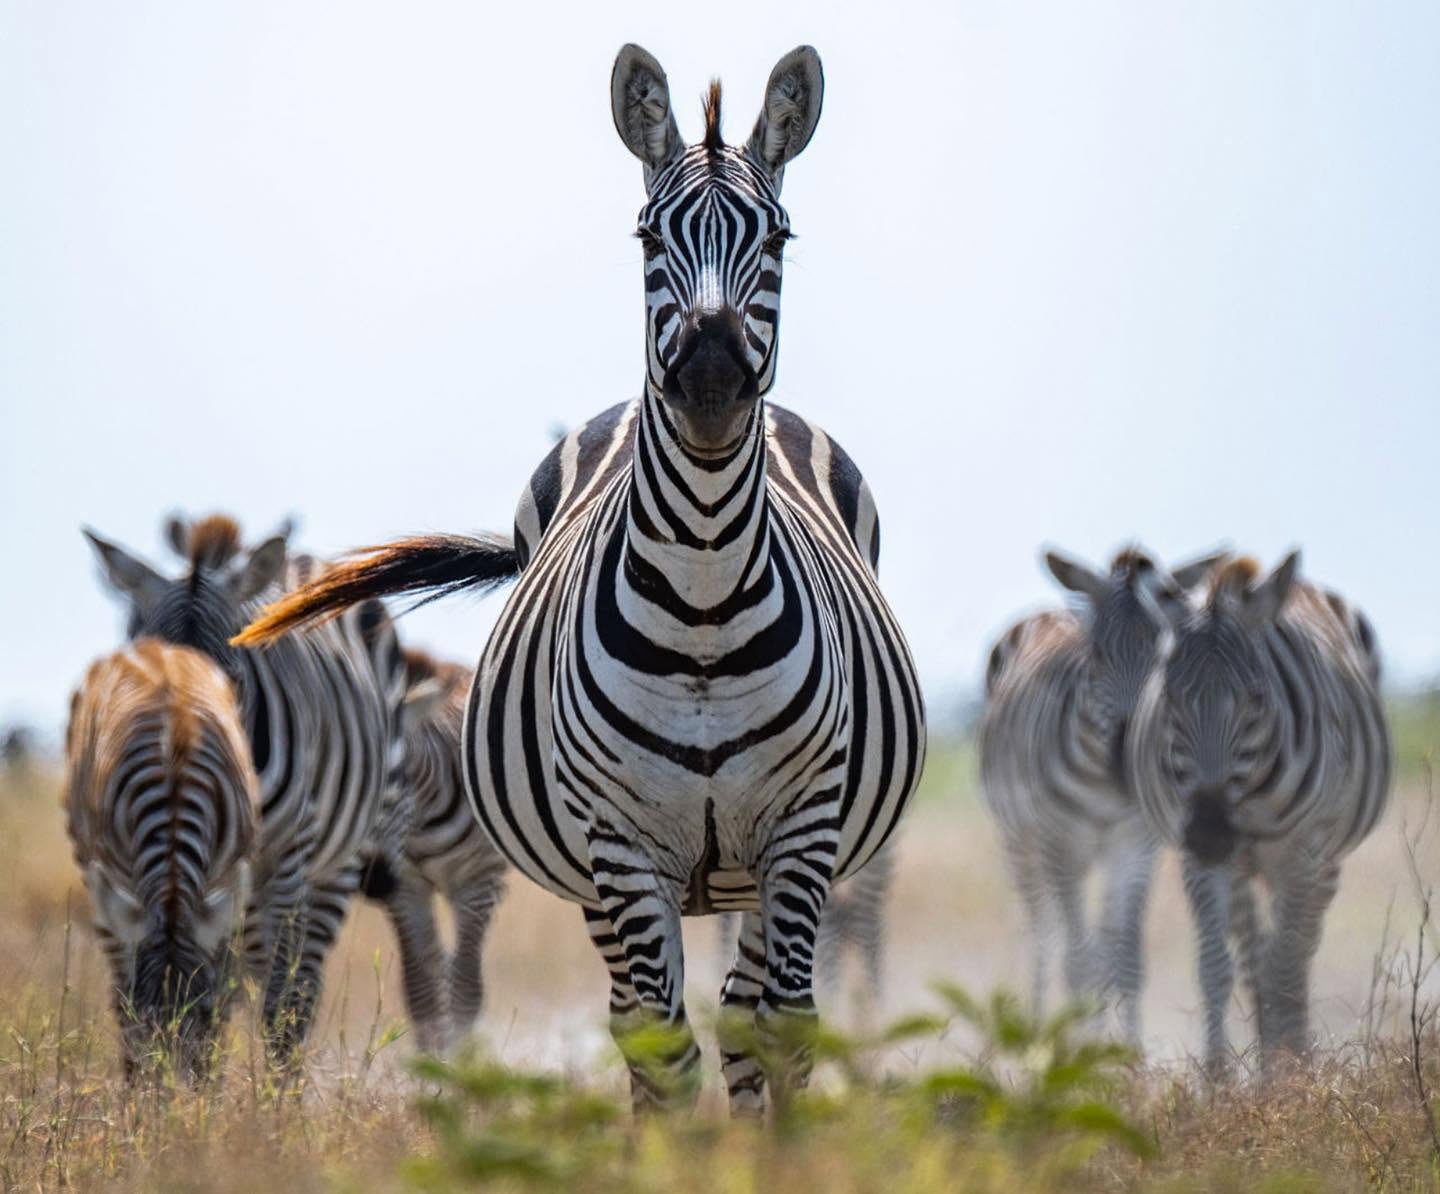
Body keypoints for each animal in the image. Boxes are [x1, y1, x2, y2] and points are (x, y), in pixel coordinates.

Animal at [64, 638, 259, 1079]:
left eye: (202, 1012)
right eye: (144, 1016)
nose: (172, 1094)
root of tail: (156, 647)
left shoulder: (226, 888)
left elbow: (223, 987)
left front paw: (211, 1084)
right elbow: (123, 996)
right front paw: (136, 1082)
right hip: (97, 880)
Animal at [84, 513, 406, 1059]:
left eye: (228, 681)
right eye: (142, 678)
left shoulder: (287, 856)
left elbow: (278, 997)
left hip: (336, 862)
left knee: (300, 987)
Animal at [358, 649, 509, 1054]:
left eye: (396, 779)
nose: (369, 880)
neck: (421, 821)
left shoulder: (478, 880)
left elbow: (467, 988)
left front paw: (462, 1061)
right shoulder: (407, 887)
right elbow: (420, 990)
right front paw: (430, 1061)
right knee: (436, 961)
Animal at [980, 545, 1226, 1044]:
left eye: (1163, 656)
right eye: (1096, 653)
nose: (1127, 762)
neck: (1103, 787)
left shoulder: (1136, 847)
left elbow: (1123, 960)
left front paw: (1127, 1056)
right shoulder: (1061, 843)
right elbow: (1076, 962)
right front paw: (1070, 1054)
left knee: (1098, 944)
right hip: (1021, 842)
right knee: (1043, 935)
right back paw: (1035, 1029)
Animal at [1128, 552, 1391, 1078]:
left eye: (1255, 697)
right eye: (1169, 698)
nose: (1210, 833)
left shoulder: (1301, 852)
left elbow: (1285, 971)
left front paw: (1292, 1079)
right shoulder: (1197, 857)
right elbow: (1216, 968)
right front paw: (1218, 1081)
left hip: (1323, 860)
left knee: (1295, 955)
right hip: (1244, 869)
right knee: (1254, 960)